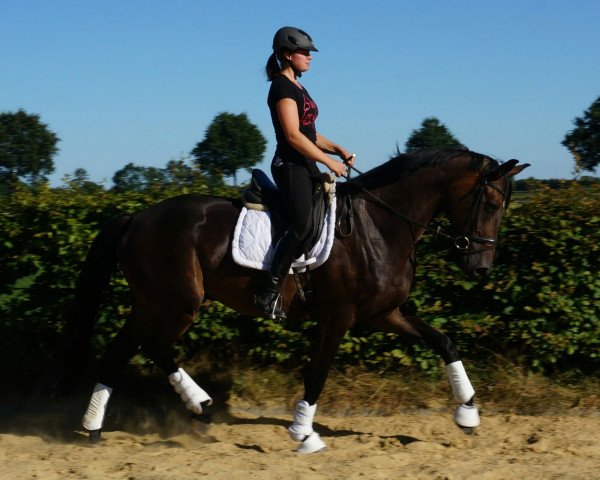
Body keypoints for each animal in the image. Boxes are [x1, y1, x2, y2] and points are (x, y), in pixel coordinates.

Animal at [62, 147, 528, 454]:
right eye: (490, 203)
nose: (481, 268)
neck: (381, 225)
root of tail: (136, 218)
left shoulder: (384, 313)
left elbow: (443, 342)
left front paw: (468, 413)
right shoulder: (338, 317)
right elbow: (317, 374)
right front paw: (304, 434)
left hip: (155, 302)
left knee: (137, 348)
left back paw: (177, 410)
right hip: (174, 302)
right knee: (142, 347)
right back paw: (108, 425)